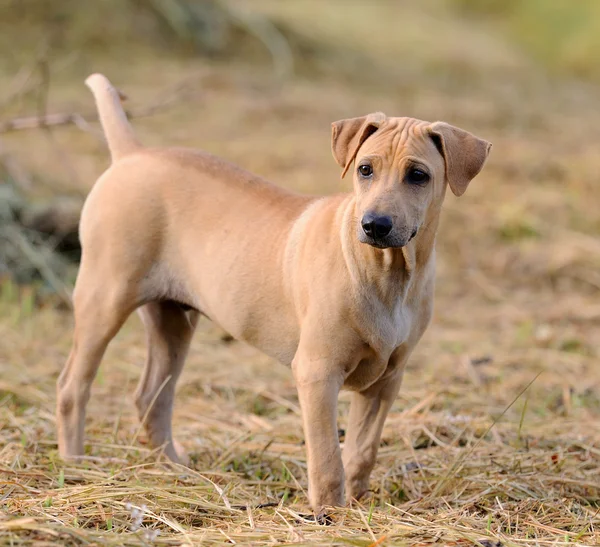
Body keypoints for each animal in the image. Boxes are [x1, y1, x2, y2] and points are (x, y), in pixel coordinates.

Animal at [56, 75, 490, 516]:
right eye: (365, 169)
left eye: (418, 175)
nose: (374, 225)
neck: (388, 272)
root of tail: (133, 154)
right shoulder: (317, 372)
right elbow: (327, 458)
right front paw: (328, 515)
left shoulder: (386, 380)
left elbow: (361, 453)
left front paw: (355, 507)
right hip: (104, 297)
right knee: (73, 386)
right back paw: (75, 466)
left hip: (172, 320)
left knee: (151, 398)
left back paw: (178, 471)